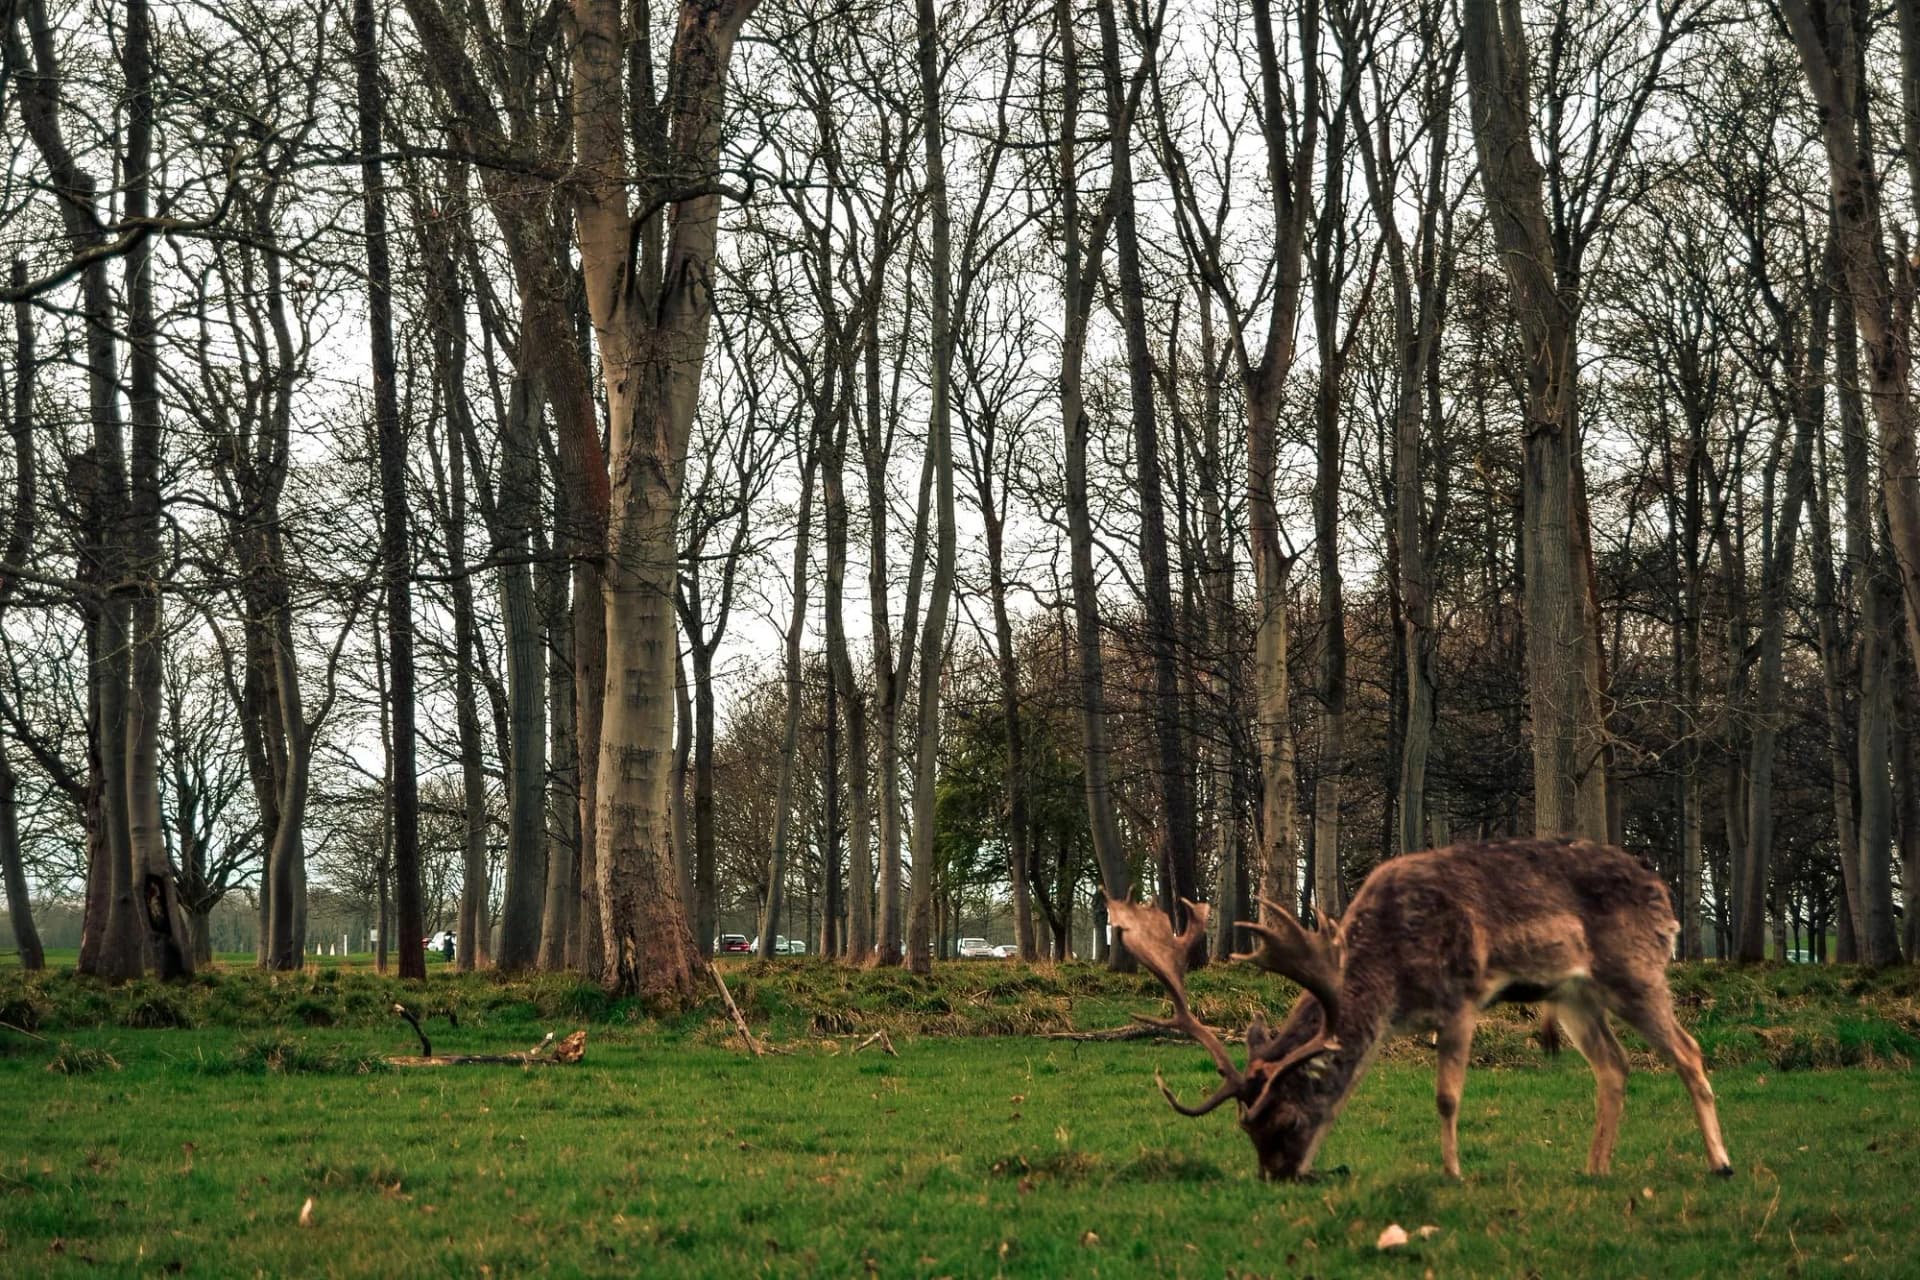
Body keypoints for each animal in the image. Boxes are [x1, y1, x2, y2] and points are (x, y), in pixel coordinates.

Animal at [1109, 837, 1732, 1182]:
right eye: (1246, 1132)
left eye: (1285, 1120)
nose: (1276, 1177)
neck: (1390, 975)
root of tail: (1666, 897)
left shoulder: (1461, 994)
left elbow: (1446, 1096)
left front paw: (1452, 1172)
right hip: (1573, 994)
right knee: (1614, 1063)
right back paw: (1595, 1167)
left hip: (1635, 970)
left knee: (1688, 1050)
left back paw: (1720, 1163)